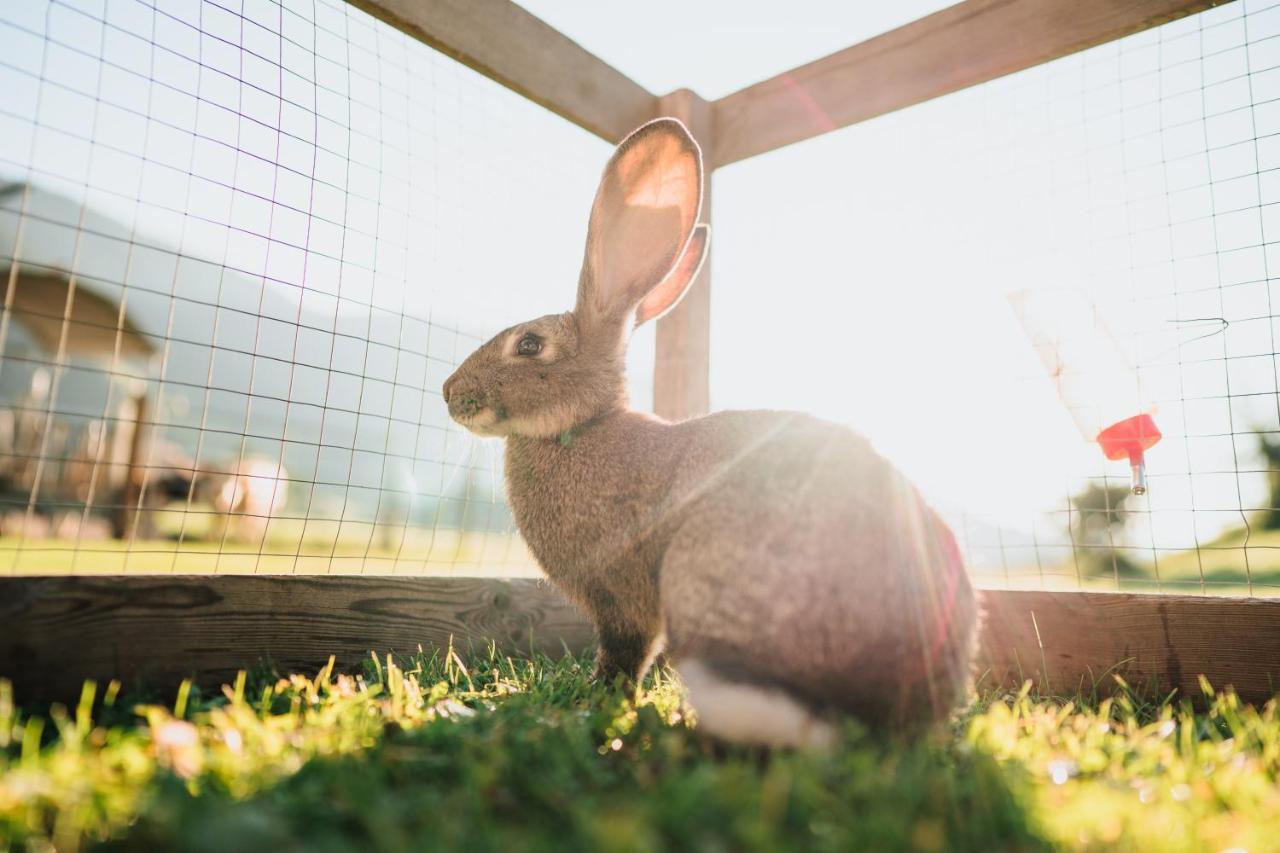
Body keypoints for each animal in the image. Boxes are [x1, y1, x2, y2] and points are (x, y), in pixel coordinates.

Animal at [442, 114, 977, 742]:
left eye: (528, 345)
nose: (449, 395)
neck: (582, 426)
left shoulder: (622, 596)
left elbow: (624, 652)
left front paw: (596, 698)